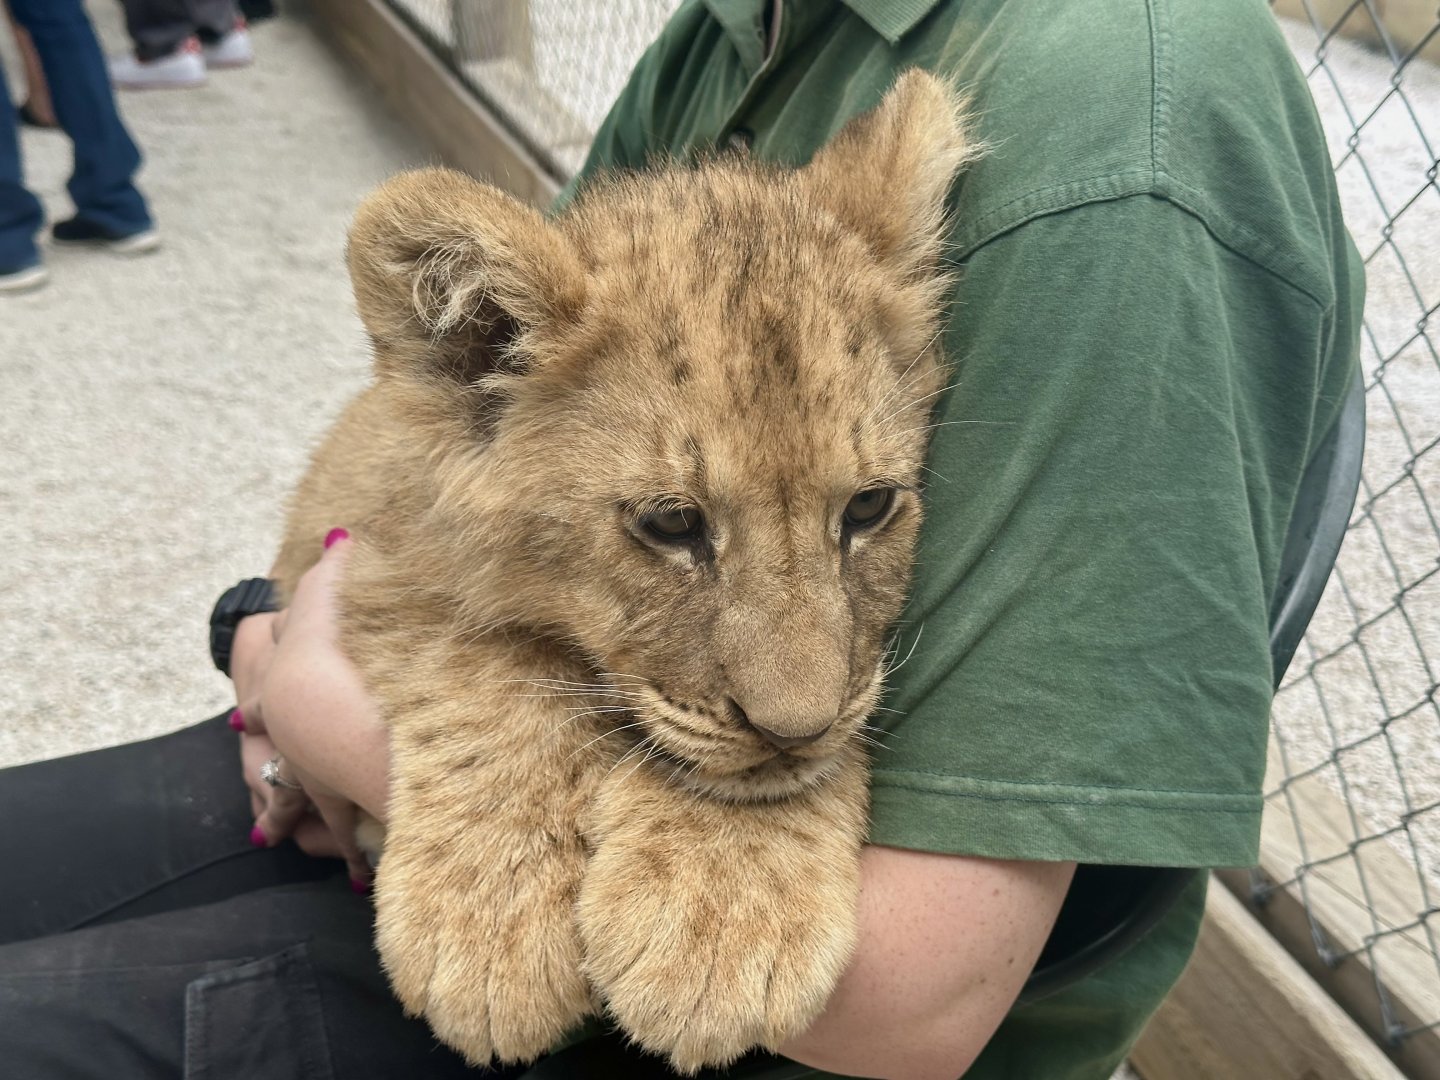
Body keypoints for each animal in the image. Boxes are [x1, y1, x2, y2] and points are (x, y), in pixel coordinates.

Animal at [268, 70, 977, 1073]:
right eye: (672, 523)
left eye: (869, 508)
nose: (793, 731)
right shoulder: (368, 558)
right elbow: (496, 672)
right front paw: (488, 933)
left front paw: (722, 909)